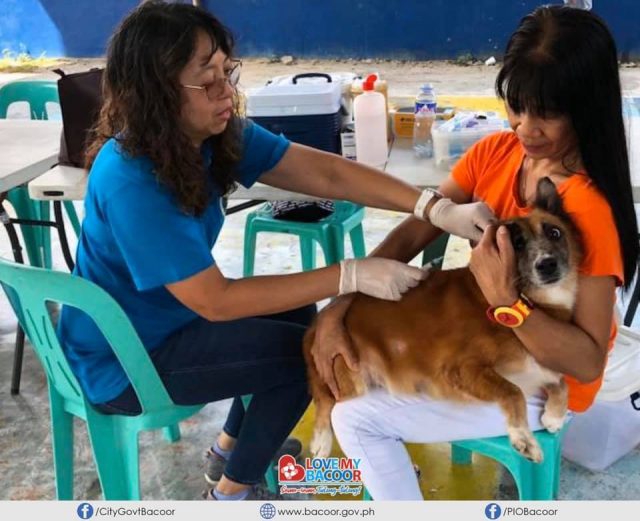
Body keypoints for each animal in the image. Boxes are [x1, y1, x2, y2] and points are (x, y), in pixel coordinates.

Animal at [302, 177, 584, 462]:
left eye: (554, 232)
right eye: (516, 243)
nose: (547, 265)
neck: (527, 300)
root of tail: (318, 323)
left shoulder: (539, 366)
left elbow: (561, 383)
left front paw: (554, 416)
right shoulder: (463, 368)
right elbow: (512, 391)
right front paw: (523, 437)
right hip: (349, 378)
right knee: (324, 400)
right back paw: (321, 440)